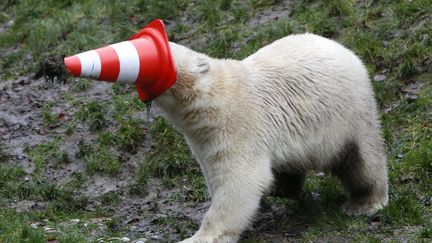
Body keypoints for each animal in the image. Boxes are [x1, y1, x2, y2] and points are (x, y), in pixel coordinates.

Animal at [154, 32, 390, 243]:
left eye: (168, 47)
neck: (215, 98)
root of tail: (345, 50)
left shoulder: (239, 125)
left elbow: (241, 180)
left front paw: (199, 237)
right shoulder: (204, 141)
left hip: (349, 113)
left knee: (362, 160)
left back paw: (363, 203)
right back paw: (283, 187)